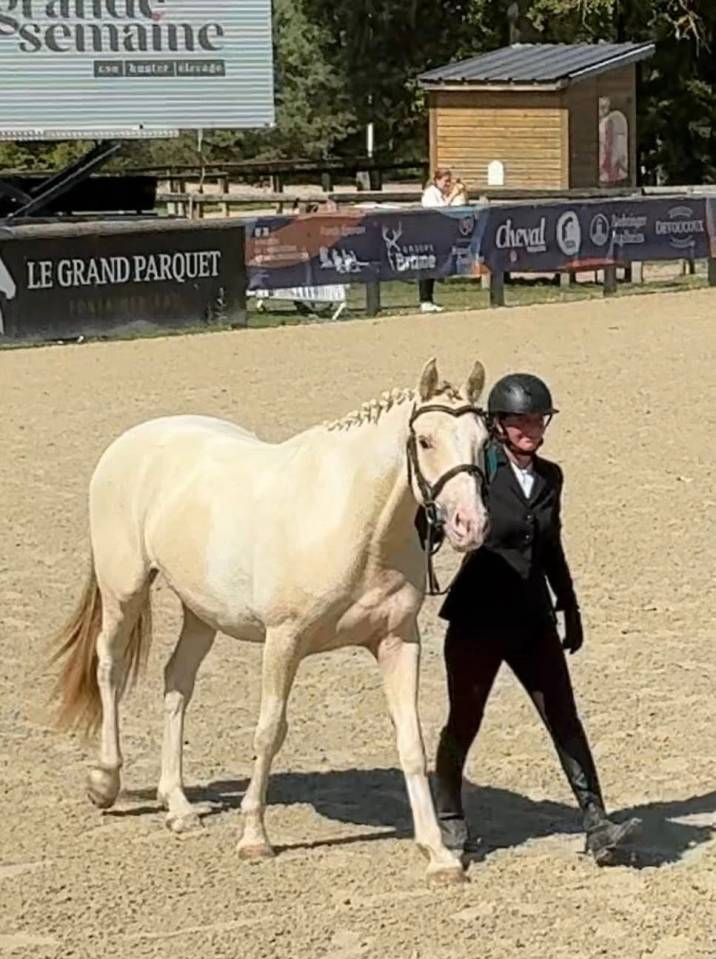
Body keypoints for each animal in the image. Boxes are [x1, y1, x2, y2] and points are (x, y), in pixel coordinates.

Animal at [50, 357, 490, 882]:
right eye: (425, 440)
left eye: (484, 441)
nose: (470, 525)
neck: (352, 522)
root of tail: (131, 441)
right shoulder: (284, 640)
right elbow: (269, 731)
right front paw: (254, 838)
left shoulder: (398, 641)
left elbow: (411, 742)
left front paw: (439, 855)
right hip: (125, 591)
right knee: (110, 669)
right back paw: (105, 781)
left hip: (200, 613)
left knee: (176, 682)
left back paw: (177, 805)